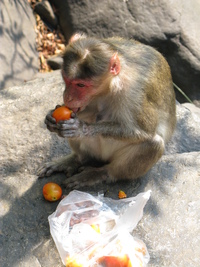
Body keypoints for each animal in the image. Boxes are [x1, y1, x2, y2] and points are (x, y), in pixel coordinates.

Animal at [37, 33, 177, 188]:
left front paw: (81, 128)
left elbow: (144, 131)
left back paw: (99, 173)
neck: (110, 84)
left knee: (153, 144)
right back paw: (77, 159)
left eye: (81, 85)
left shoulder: (134, 93)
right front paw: (50, 117)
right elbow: (82, 110)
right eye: (66, 80)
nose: (68, 97)